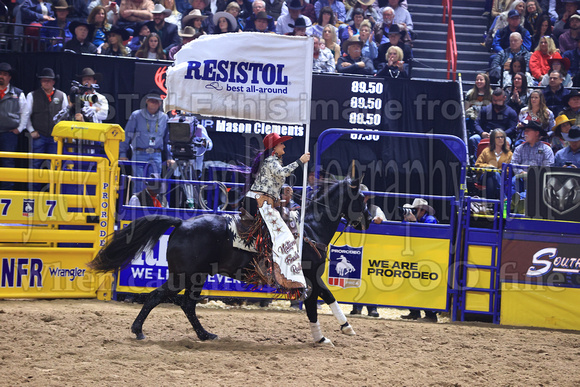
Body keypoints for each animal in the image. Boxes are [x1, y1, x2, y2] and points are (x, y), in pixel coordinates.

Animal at [90, 178, 372, 346]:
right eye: (362, 199)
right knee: (157, 297)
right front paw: (333, 332)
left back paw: (204, 335)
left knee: (187, 304)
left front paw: (335, 331)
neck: (308, 229)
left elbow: (322, 299)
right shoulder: (310, 276)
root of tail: (180, 223)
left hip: (196, 277)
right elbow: (321, 299)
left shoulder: (311, 278)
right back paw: (138, 330)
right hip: (183, 276)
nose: (369, 221)